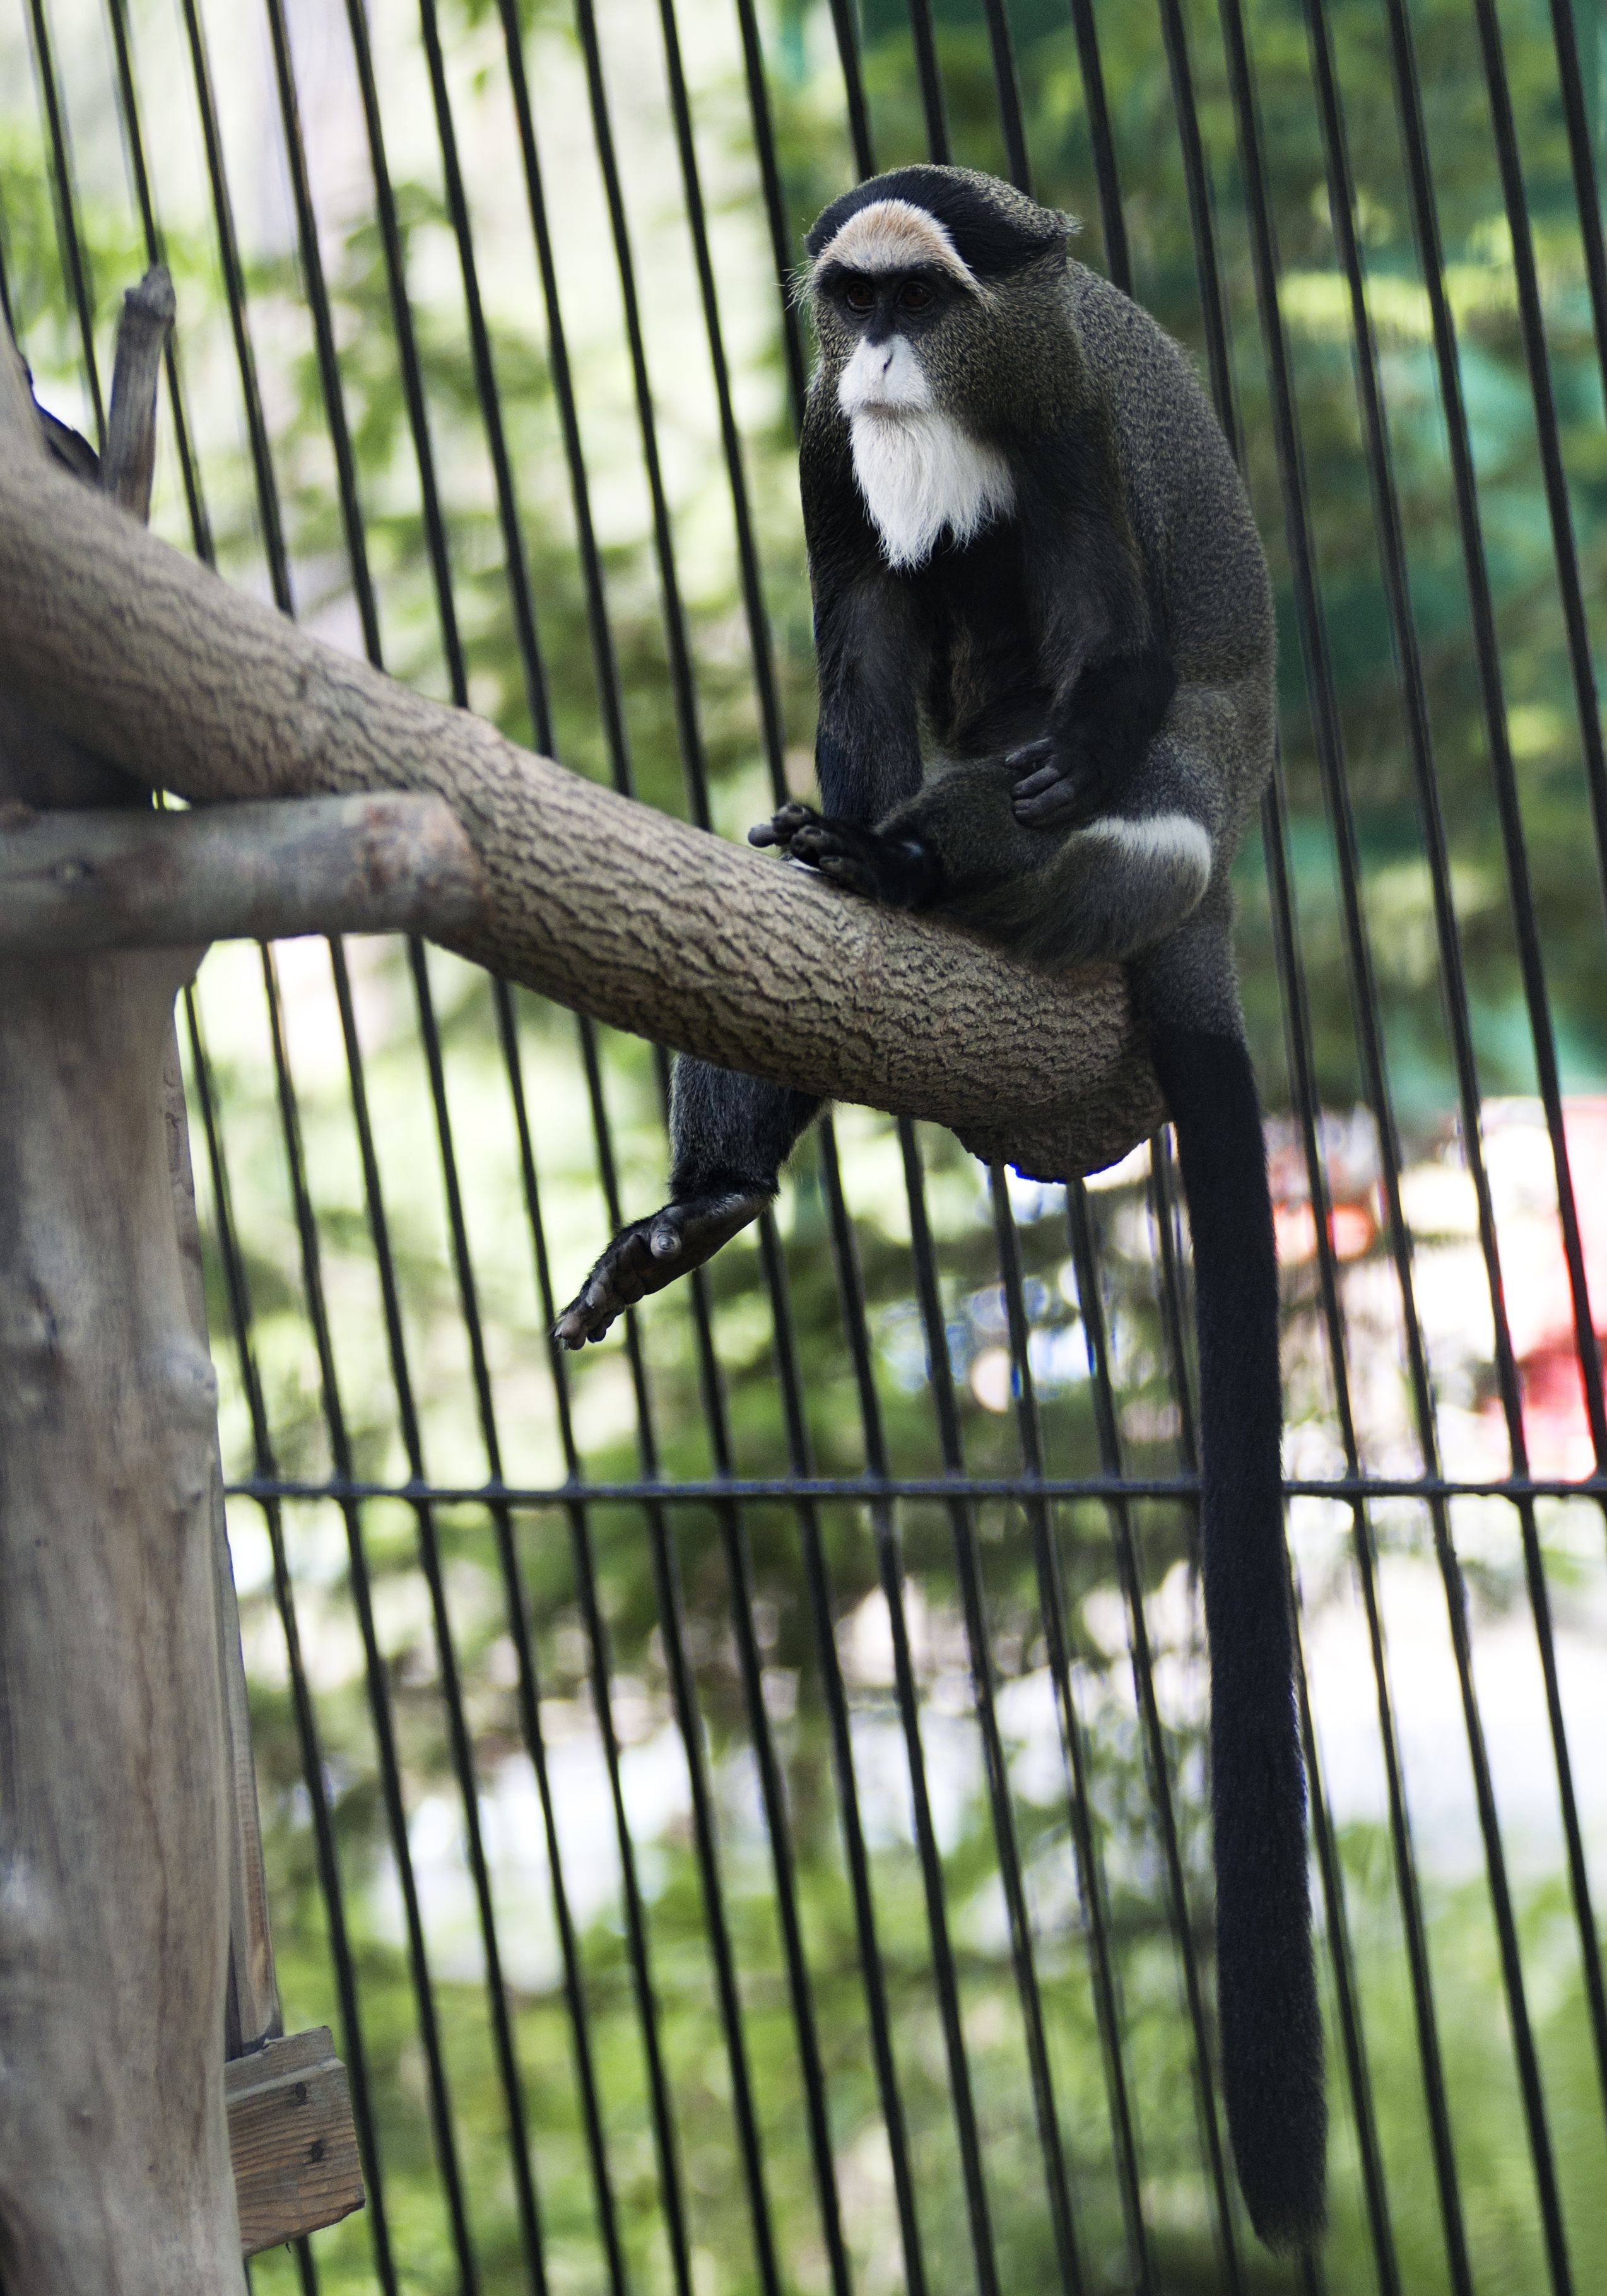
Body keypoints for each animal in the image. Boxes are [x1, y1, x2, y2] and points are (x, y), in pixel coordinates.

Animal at [558, 166, 1322, 2259]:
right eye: (849, 303)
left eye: (929, 298)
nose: (888, 362)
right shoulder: (831, 460)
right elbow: (858, 653)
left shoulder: (1060, 423)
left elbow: (1104, 642)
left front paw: (920, 843)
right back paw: (715, 1189)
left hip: (1169, 835)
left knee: (1091, 803)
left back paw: (924, 870)